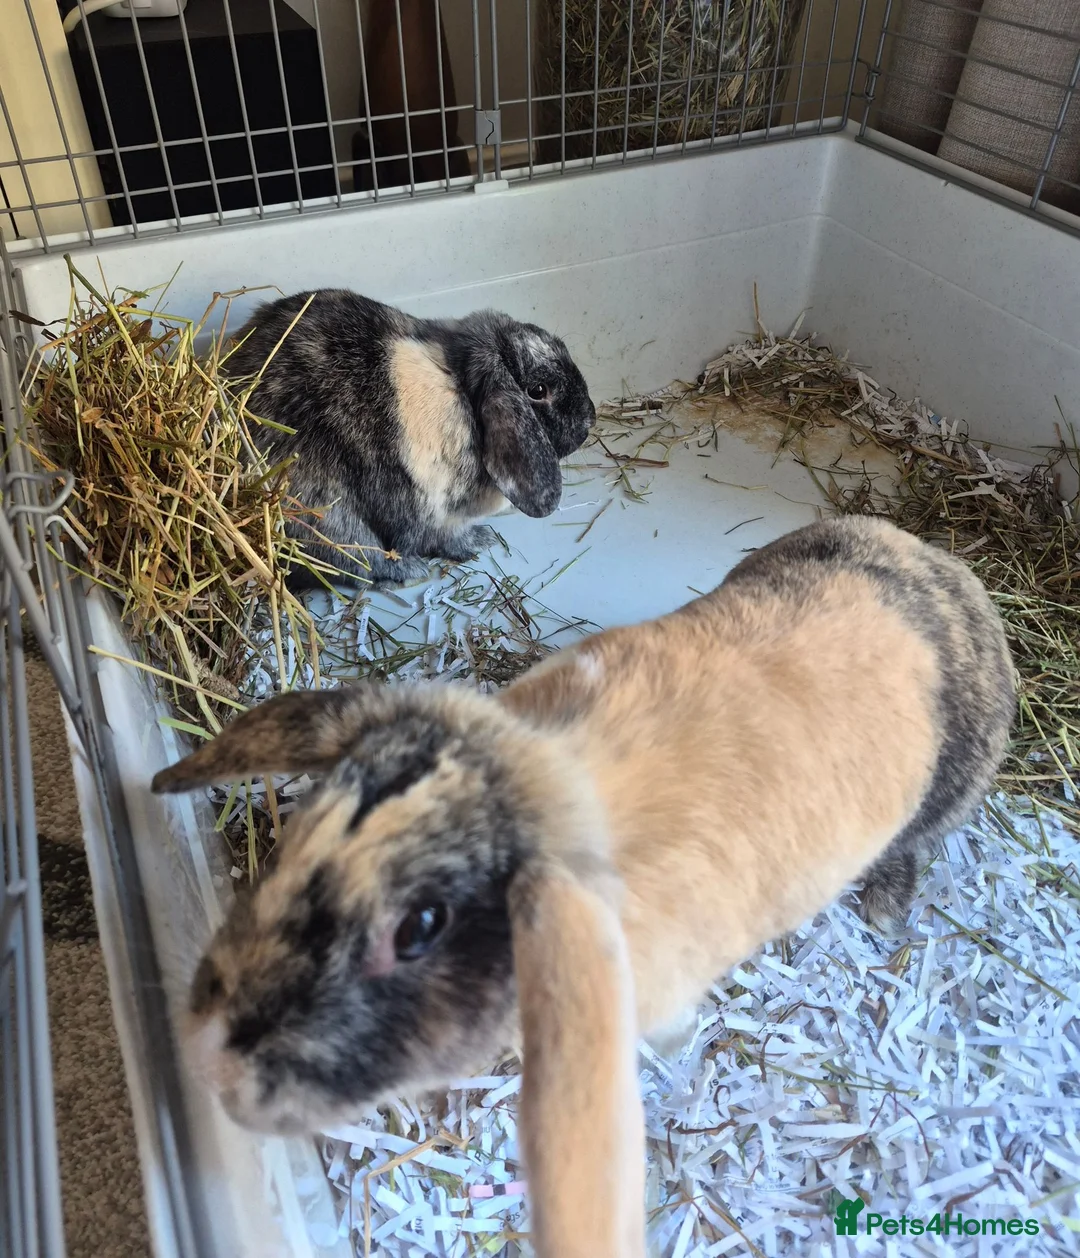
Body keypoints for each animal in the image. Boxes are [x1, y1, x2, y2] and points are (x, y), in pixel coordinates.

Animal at [227, 289, 596, 587]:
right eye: (538, 391)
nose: (590, 419)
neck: (462, 390)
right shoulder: (436, 516)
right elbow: (446, 539)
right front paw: (481, 540)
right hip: (327, 515)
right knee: (359, 563)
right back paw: (412, 570)